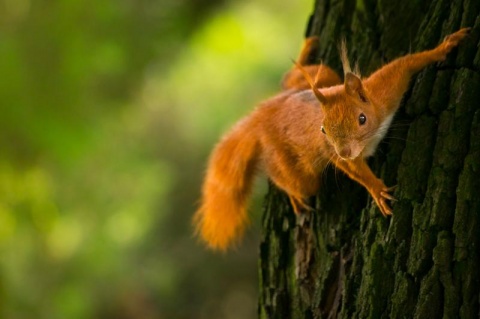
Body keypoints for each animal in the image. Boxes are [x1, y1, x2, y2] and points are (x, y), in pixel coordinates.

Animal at [193, 27, 470, 251]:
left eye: (362, 118)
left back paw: (306, 51)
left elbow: (408, 62)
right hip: (296, 170)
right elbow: (354, 170)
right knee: (286, 177)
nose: (345, 150)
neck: (371, 135)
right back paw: (294, 196)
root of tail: (266, 114)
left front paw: (446, 45)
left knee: (294, 77)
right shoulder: (334, 151)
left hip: (324, 77)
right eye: (323, 130)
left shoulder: (384, 90)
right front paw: (377, 190)